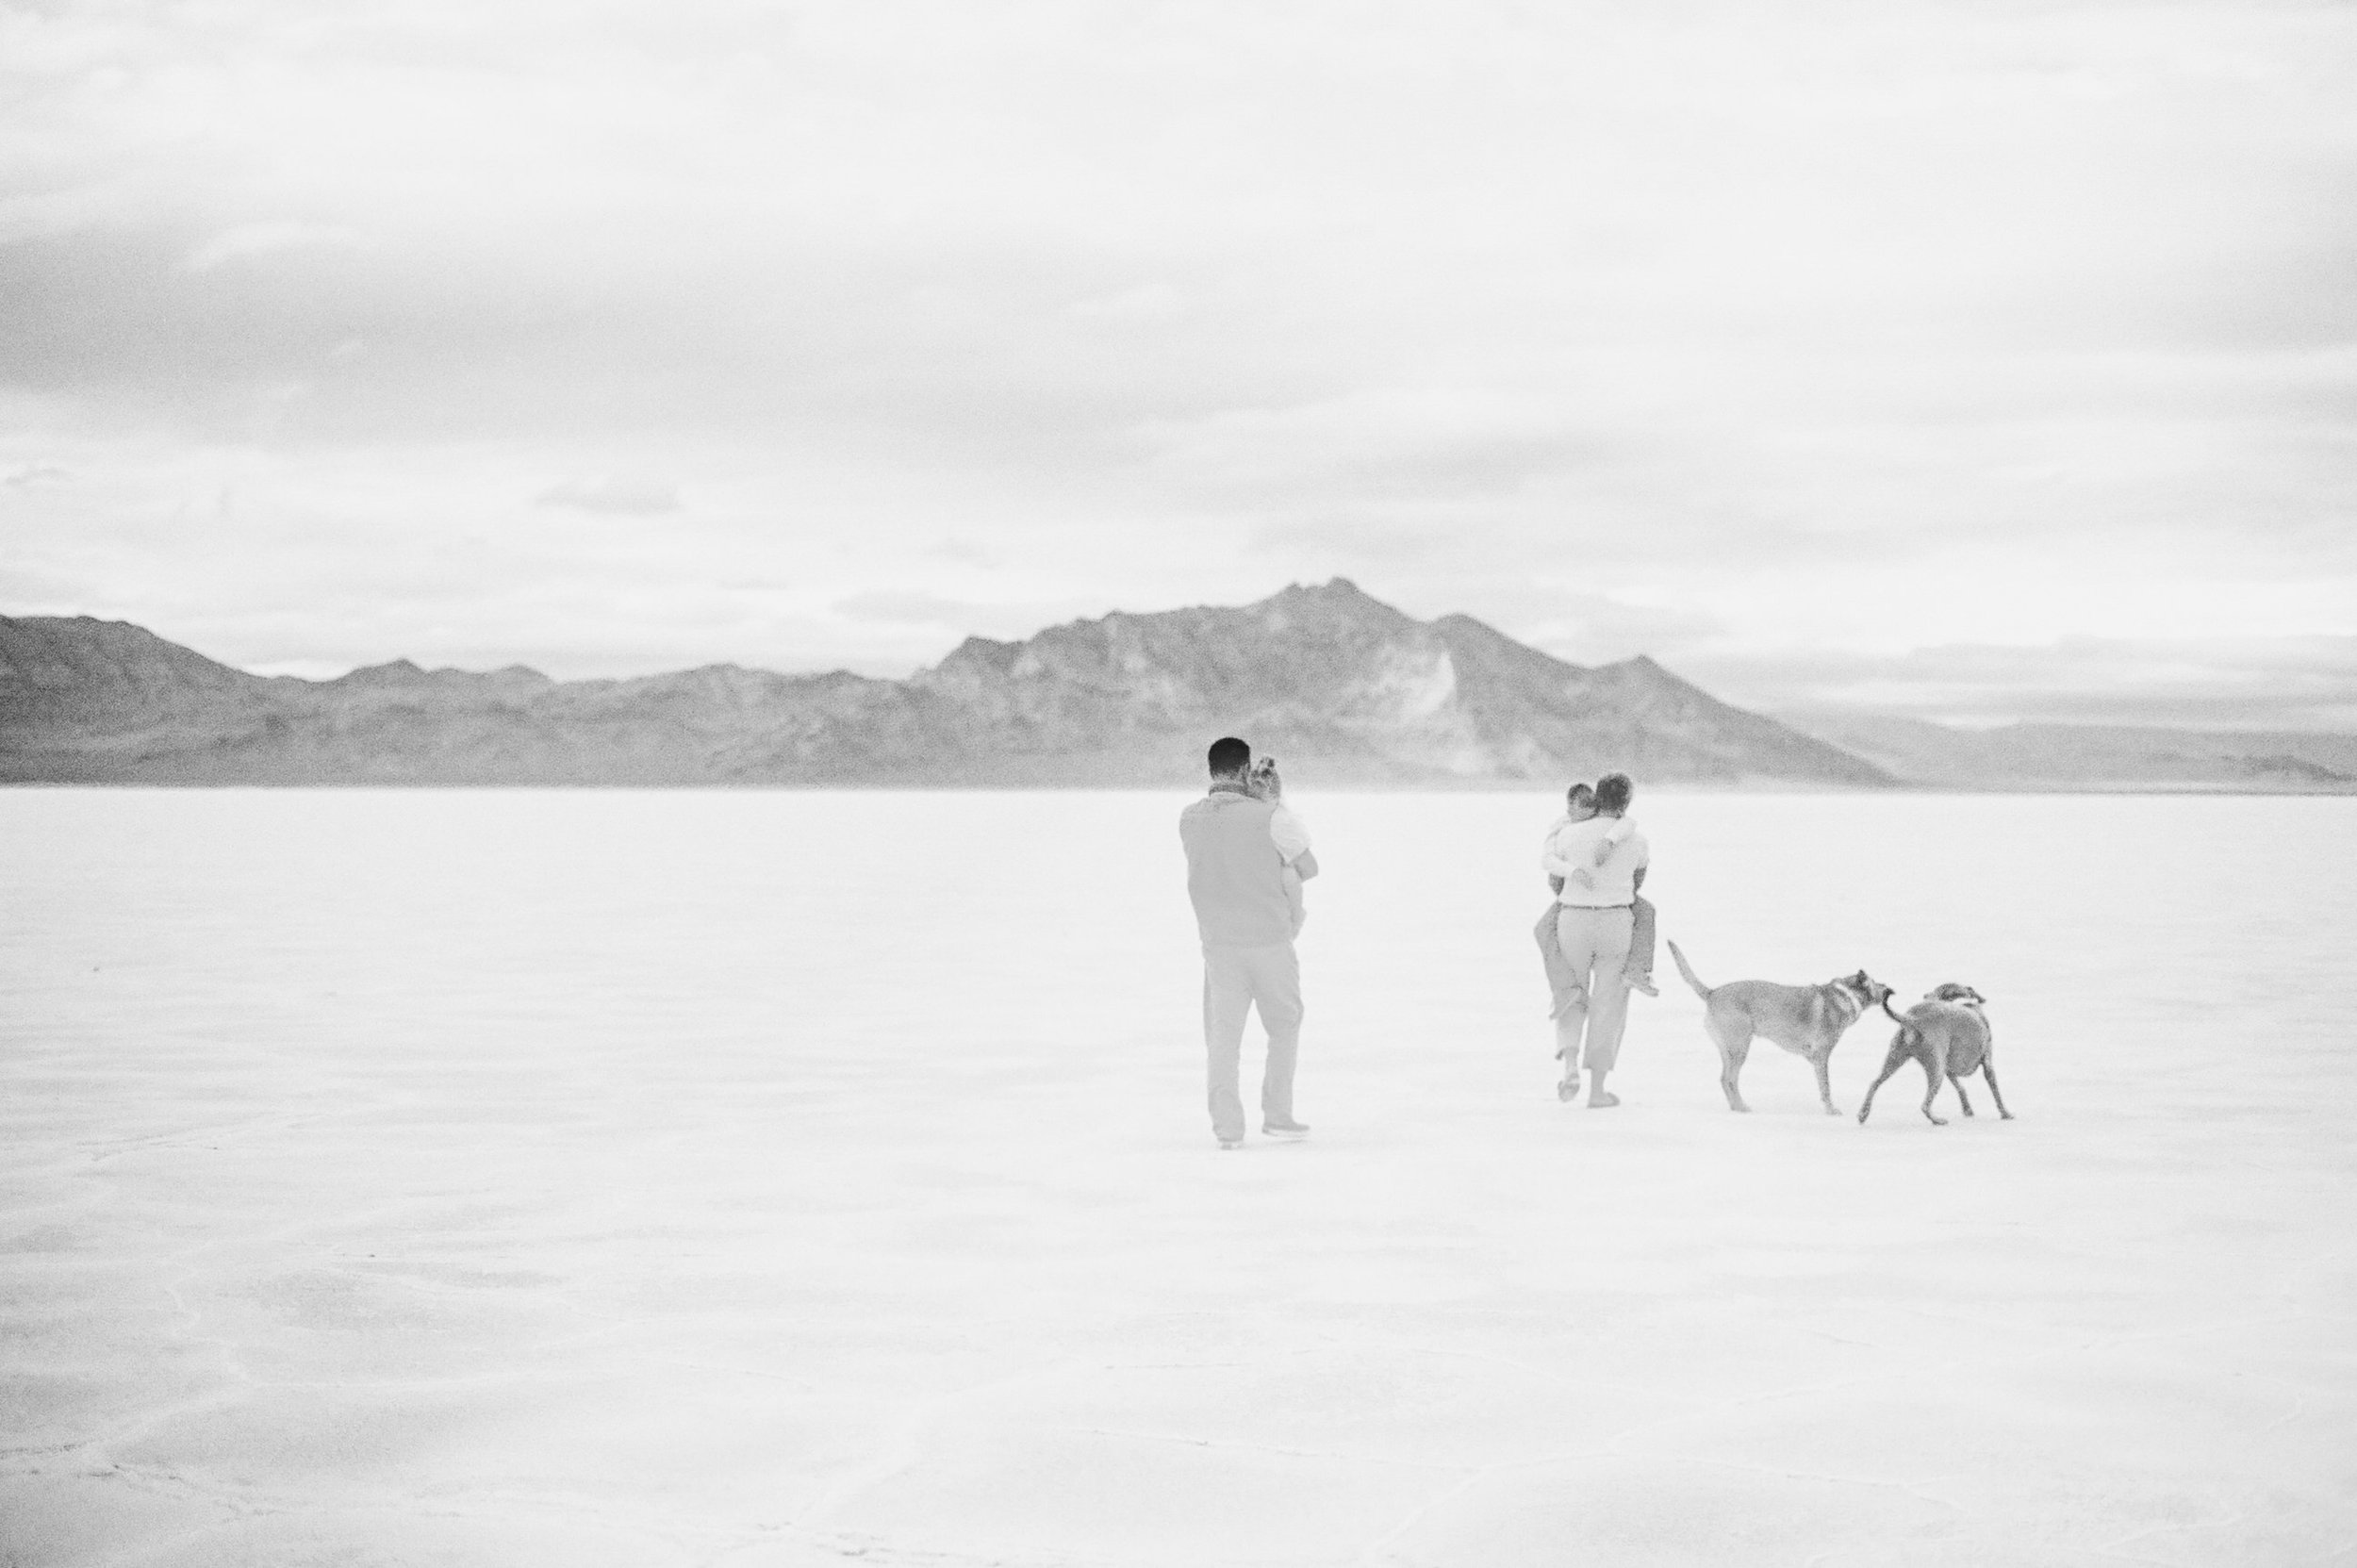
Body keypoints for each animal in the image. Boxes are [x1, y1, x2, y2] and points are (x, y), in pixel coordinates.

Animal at [1669, 943, 1886, 1113]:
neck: (1846, 996)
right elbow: (1825, 1088)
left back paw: (1735, 1107)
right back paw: (1741, 1107)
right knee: (1729, 1080)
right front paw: (1831, 1111)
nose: (1888, 987)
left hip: (1729, 1051)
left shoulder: (1814, 1057)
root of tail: (1712, 992)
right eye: (1876, 982)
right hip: (1740, 1049)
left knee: (1724, 1079)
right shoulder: (1821, 1056)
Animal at [1857, 981, 2008, 1127]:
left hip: (1895, 1059)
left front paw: (1967, 1109)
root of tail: (1913, 1019)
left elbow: (1960, 1088)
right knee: (1925, 1105)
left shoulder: (1949, 1070)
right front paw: (2006, 1114)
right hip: (1936, 1069)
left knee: (1874, 1083)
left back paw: (1863, 1114)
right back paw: (1937, 1120)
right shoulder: (1987, 1065)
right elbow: (1996, 1092)